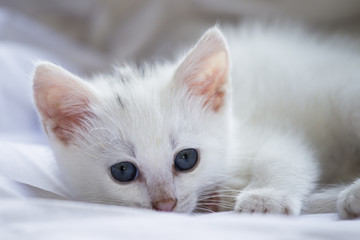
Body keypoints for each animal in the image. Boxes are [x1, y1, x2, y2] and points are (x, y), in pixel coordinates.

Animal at [32, 23, 360, 218]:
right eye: (123, 171)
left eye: (186, 158)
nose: (165, 205)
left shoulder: (265, 133)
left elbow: (283, 155)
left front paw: (265, 199)